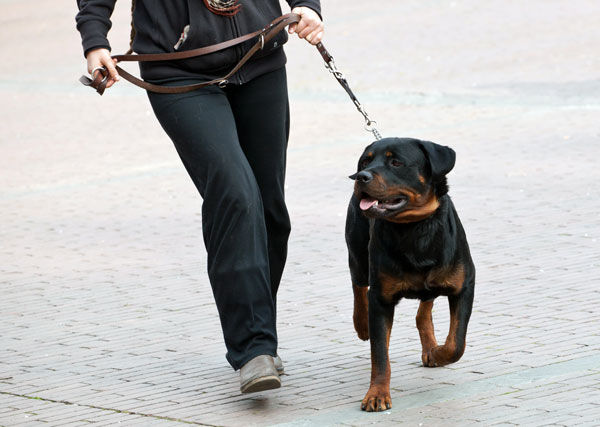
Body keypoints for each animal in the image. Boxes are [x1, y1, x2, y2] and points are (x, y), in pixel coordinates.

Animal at [346, 137, 474, 412]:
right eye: (365, 161)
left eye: (396, 162)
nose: (361, 176)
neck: (414, 228)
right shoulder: (381, 298)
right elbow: (379, 354)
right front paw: (377, 394)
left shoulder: (464, 286)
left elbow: (456, 343)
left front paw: (438, 353)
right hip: (358, 251)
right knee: (358, 286)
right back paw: (362, 324)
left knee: (424, 309)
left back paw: (430, 348)